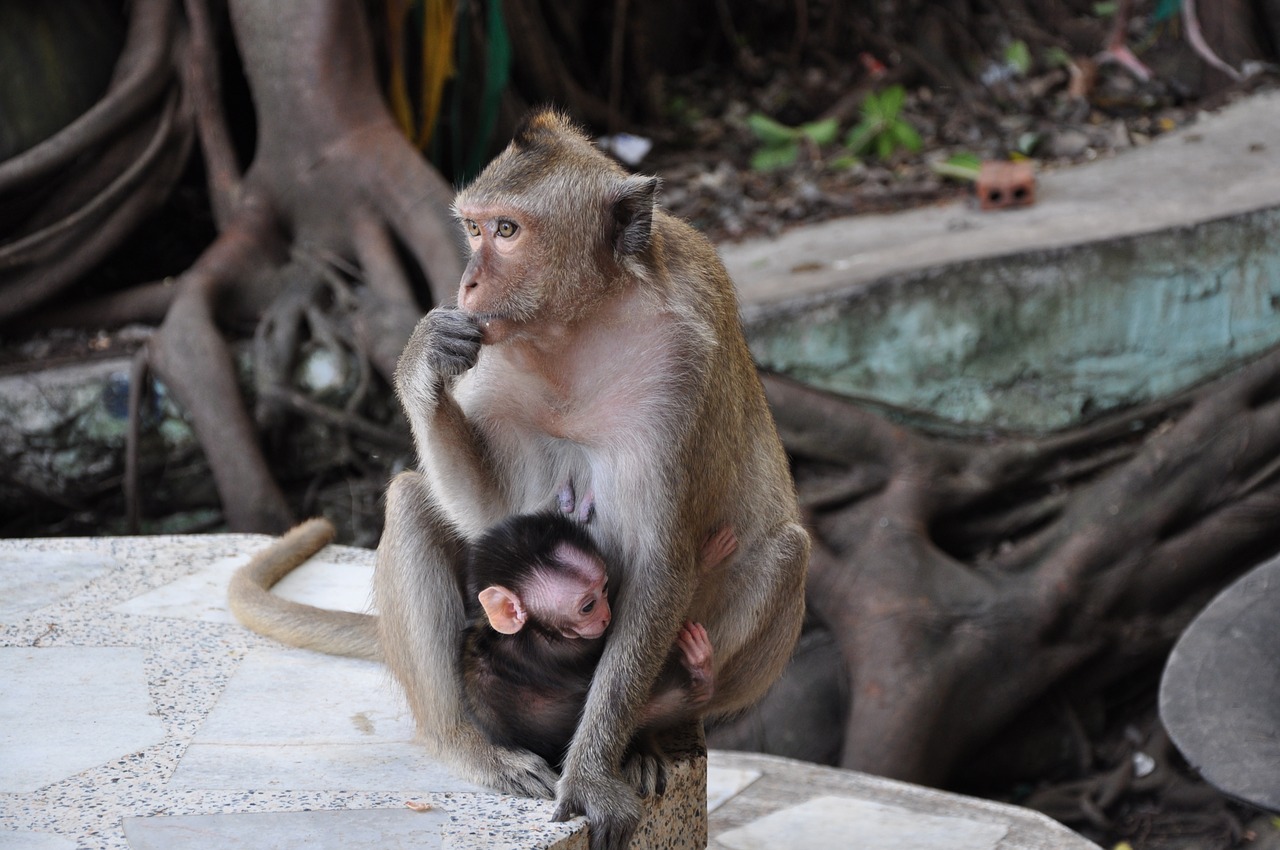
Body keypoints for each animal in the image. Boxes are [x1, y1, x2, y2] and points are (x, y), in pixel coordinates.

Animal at [465, 501, 737, 768]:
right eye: (588, 607)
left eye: (604, 588)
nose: (606, 616)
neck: (531, 629)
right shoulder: (558, 648)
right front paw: (704, 561)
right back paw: (701, 674)